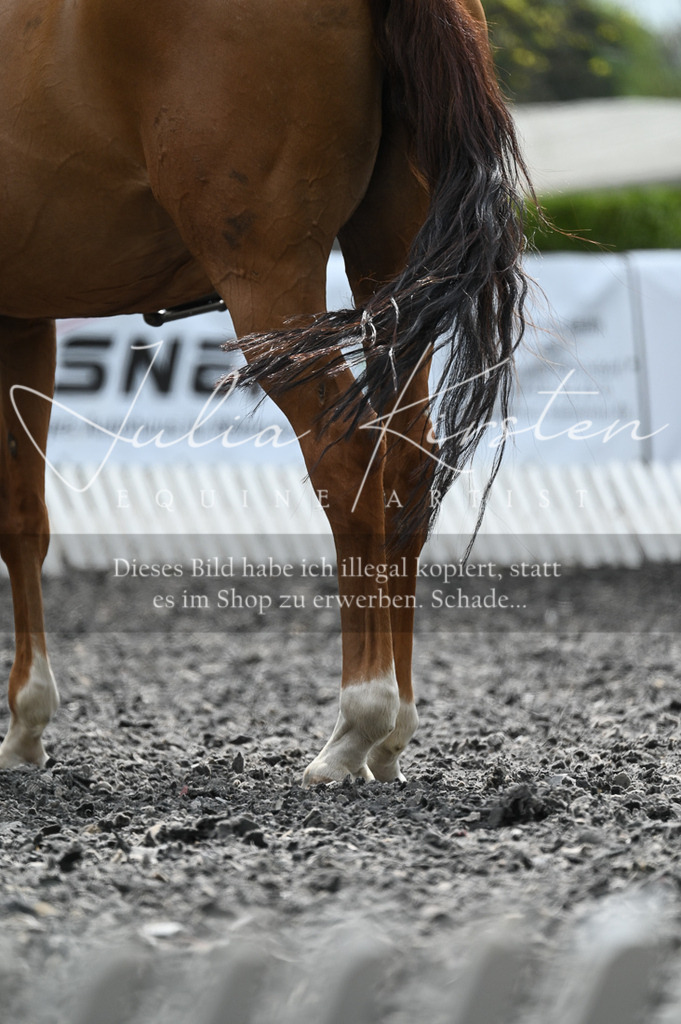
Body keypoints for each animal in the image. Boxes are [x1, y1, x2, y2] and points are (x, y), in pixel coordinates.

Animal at [0, 0, 529, 782]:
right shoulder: (24, 318)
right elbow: (24, 518)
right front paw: (27, 724)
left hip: (269, 290)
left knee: (348, 458)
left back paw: (357, 723)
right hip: (392, 270)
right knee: (405, 464)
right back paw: (393, 731)